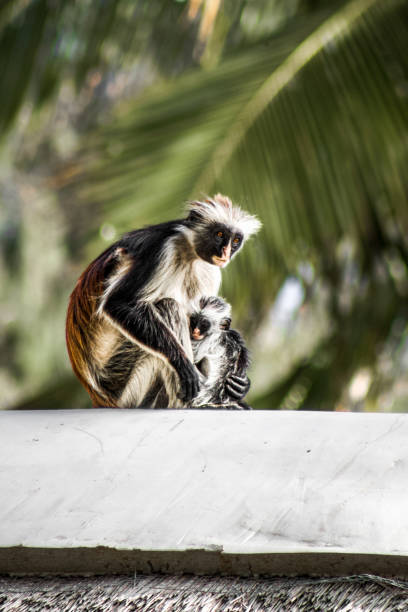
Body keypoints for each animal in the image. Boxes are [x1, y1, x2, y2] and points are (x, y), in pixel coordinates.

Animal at [65, 194, 260, 408]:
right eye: (219, 234)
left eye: (236, 240)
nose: (225, 252)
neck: (189, 251)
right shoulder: (163, 248)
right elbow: (118, 303)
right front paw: (182, 363)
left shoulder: (210, 270)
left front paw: (242, 384)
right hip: (121, 381)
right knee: (168, 305)